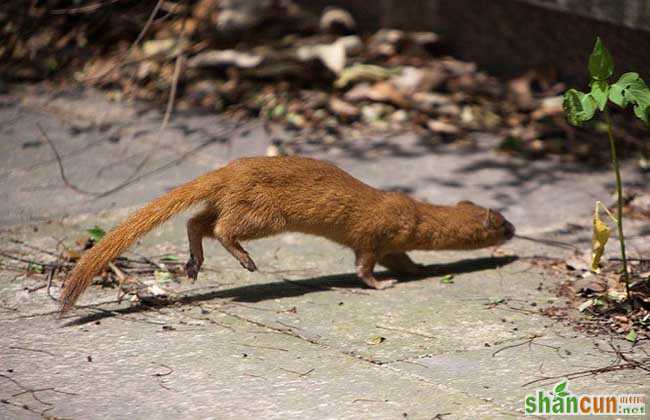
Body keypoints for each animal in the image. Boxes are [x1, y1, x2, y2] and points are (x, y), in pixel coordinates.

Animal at [62, 156, 516, 314]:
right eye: (503, 223)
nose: (515, 231)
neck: (415, 214)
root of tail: (230, 168)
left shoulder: (391, 244)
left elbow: (401, 260)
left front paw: (418, 269)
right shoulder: (374, 234)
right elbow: (364, 265)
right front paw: (381, 285)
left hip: (231, 200)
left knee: (196, 222)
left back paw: (194, 263)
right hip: (265, 213)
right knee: (222, 227)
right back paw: (245, 259)